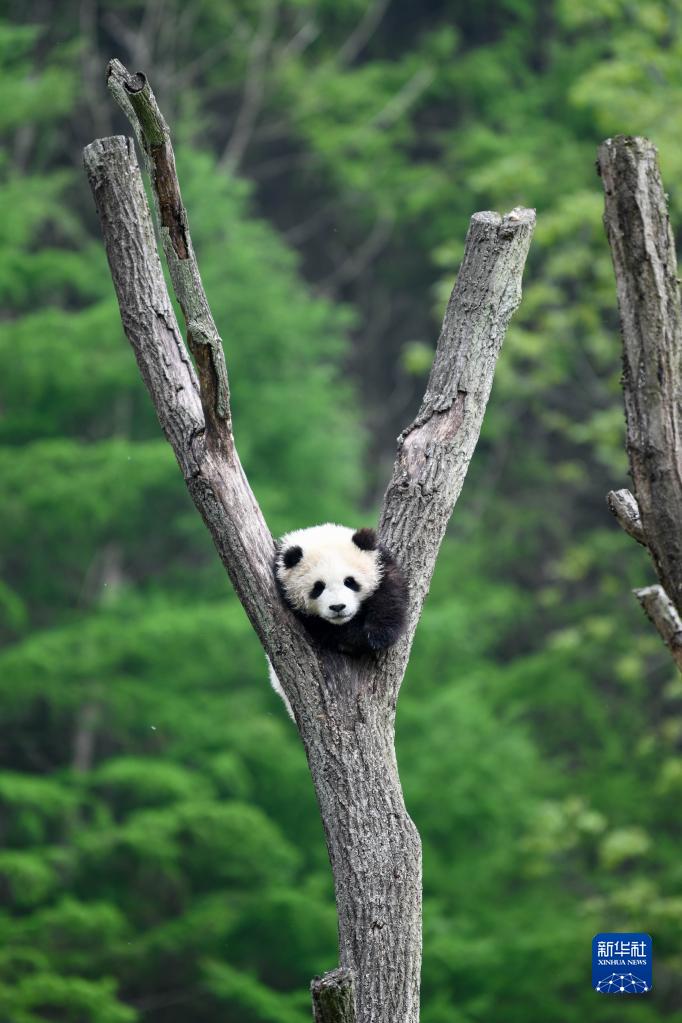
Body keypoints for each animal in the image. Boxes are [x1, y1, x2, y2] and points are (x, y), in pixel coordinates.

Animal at [267, 523, 408, 716]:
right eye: (318, 587)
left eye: (350, 581)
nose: (338, 607)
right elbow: (332, 632)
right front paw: (356, 638)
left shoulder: (382, 566)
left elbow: (389, 598)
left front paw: (377, 635)